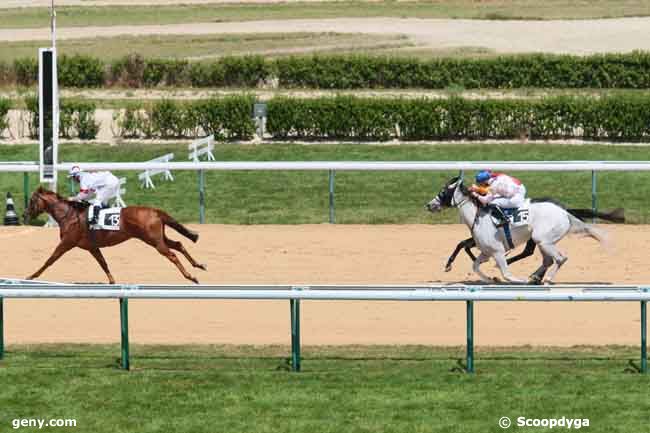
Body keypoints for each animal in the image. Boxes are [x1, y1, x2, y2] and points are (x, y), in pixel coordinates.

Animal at [24, 186, 205, 284]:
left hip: (154, 240)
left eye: (32, 200)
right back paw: (198, 265)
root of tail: (155, 211)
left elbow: (50, 260)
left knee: (172, 254)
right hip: (159, 237)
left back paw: (191, 277)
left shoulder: (67, 243)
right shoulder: (92, 247)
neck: (69, 215)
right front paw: (112, 282)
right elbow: (103, 264)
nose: (25, 214)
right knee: (179, 244)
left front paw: (31, 276)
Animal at [422, 176, 604, 284]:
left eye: (443, 192)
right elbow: (475, 265)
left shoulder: (497, 251)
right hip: (542, 241)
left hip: (542, 239)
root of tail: (564, 212)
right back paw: (536, 277)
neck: (478, 217)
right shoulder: (487, 251)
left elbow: (507, 274)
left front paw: (515, 279)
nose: (429, 205)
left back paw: (545, 279)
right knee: (548, 260)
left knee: (560, 258)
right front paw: (490, 279)